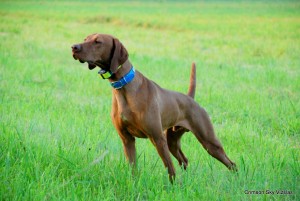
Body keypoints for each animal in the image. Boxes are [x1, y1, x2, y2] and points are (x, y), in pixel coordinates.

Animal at [71, 33, 236, 182]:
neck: (124, 86)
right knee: (184, 160)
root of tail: (190, 98)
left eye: (98, 41)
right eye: (85, 39)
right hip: (173, 141)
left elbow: (170, 169)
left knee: (231, 163)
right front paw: (134, 184)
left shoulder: (157, 138)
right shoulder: (127, 139)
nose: (74, 47)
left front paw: (173, 188)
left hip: (209, 142)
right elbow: (133, 169)